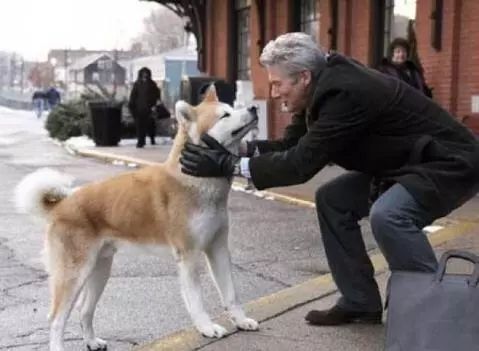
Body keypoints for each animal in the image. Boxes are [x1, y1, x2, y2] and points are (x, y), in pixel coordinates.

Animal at [15, 86, 258, 351]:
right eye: (225, 115)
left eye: (232, 107)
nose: (254, 108)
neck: (194, 179)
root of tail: (62, 204)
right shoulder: (189, 256)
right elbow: (197, 301)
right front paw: (206, 327)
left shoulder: (218, 248)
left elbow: (231, 294)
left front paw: (241, 320)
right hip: (73, 275)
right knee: (57, 319)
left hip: (100, 270)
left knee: (84, 311)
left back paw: (92, 342)